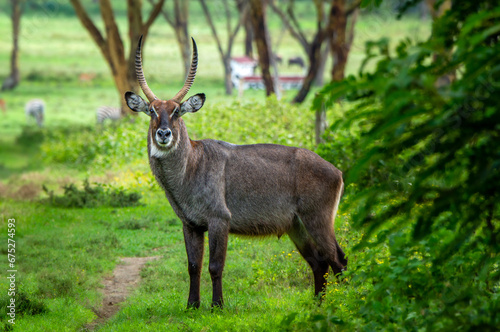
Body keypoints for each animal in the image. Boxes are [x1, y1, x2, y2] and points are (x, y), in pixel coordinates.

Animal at [124, 36, 348, 308]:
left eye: (177, 111)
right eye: (152, 111)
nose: (164, 134)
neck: (190, 166)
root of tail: (336, 170)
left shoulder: (219, 219)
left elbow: (215, 266)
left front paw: (217, 306)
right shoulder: (190, 224)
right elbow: (193, 266)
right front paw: (191, 306)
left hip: (317, 219)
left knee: (338, 260)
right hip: (297, 226)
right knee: (319, 262)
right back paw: (316, 305)